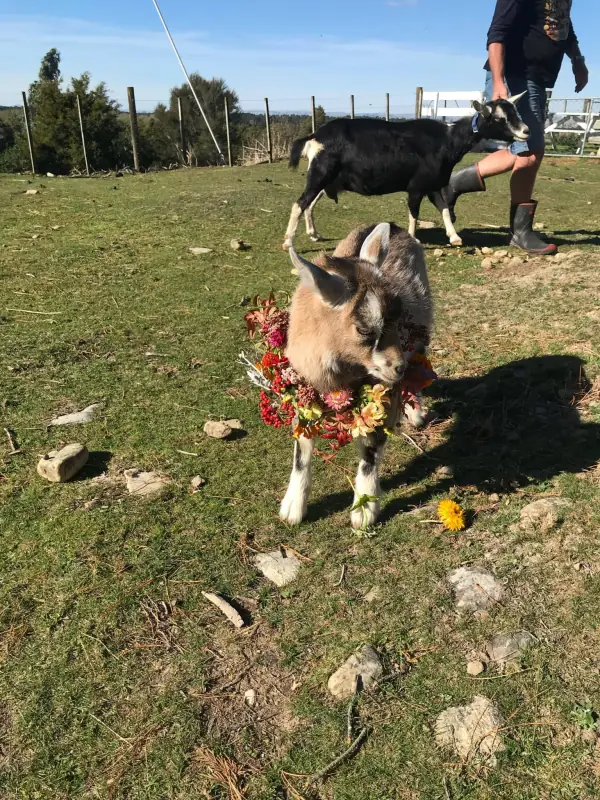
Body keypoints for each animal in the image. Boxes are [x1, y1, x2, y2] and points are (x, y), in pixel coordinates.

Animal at [280, 221, 432, 529]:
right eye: (363, 329)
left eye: (399, 318)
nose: (398, 368)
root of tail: (392, 225)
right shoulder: (304, 386)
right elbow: (301, 449)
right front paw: (292, 508)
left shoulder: (381, 393)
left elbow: (371, 450)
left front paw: (364, 511)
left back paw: (416, 412)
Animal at [283, 96, 529, 250]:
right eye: (499, 118)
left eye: (515, 112)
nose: (526, 131)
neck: (447, 141)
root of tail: (315, 136)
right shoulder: (416, 186)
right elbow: (414, 213)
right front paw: (414, 240)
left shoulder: (432, 185)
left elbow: (444, 209)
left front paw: (455, 237)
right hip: (320, 173)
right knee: (299, 203)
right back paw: (288, 243)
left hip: (328, 179)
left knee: (309, 204)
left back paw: (314, 234)